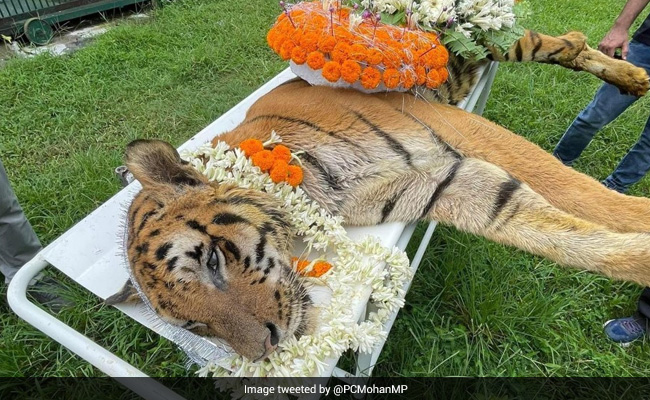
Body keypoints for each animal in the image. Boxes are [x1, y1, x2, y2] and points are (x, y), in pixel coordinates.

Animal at [108, 29, 650, 362]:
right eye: (196, 327)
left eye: (212, 261)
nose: (267, 350)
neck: (317, 192)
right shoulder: (439, 184)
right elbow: (562, 235)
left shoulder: (459, 130)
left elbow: (577, 190)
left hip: (482, 42)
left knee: (555, 41)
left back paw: (632, 75)